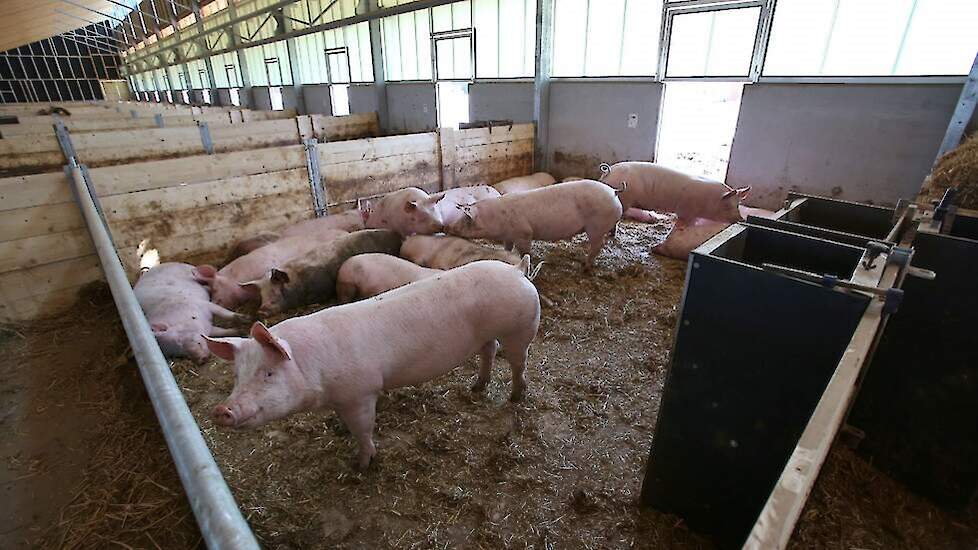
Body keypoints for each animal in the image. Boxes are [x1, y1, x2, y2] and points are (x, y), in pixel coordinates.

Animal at [205, 260, 540, 468]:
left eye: (268, 373)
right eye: (237, 376)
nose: (221, 410)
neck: (313, 364)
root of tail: (517, 270)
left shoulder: (361, 392)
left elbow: (363, 429)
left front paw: (361, 464)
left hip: (520, 329)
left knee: (518, 361)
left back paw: (515, 396)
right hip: (487, 334)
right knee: (489, 351)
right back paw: (476, 387)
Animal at [442, 179, 616, 272]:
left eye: (465, 220)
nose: (446, 228)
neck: (497, 218)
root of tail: (613, 193)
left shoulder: (524, 233)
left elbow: (525, 251)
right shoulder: (508, 236)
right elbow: (507, 248)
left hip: (596, 226)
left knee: (597, 246)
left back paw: (585, 267)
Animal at [596, 161, 748, 227]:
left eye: (738, 205)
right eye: (727, 206)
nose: (741, 218)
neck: (709, 201)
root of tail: (608, 171)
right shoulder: (685, 210)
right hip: (625, 199)